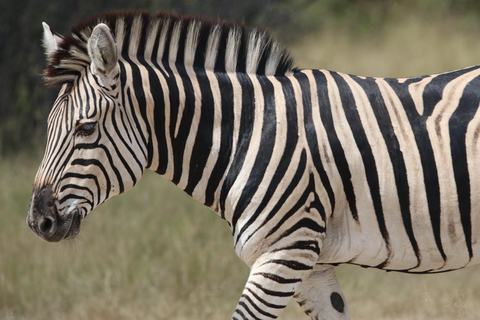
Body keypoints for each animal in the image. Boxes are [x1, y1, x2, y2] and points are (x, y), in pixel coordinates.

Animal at [27, 10, 480, 318]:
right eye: (48, 128)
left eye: (86, 128)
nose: (38, 222)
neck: (247, 135)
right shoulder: (313, 266)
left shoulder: (283, 253)